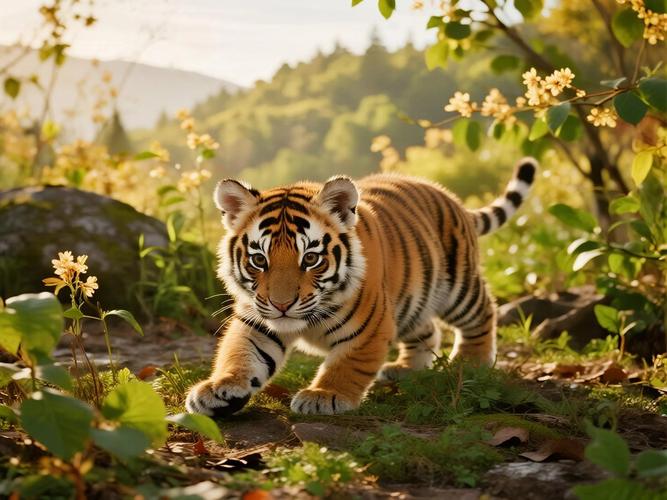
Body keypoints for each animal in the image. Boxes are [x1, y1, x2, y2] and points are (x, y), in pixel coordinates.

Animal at [185, 157, 537, 416]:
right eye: (259, 260)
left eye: (310, 258)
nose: (282, 305)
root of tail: (451, 197)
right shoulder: (256, 320)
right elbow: (239, 353)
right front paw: (219, 388)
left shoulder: (369, 328)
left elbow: (347, 365)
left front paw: (324, 395)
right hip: (411, 303)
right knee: (427, 330)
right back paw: (404, 369)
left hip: (457, 287)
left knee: (483, 312)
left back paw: (470, 362)